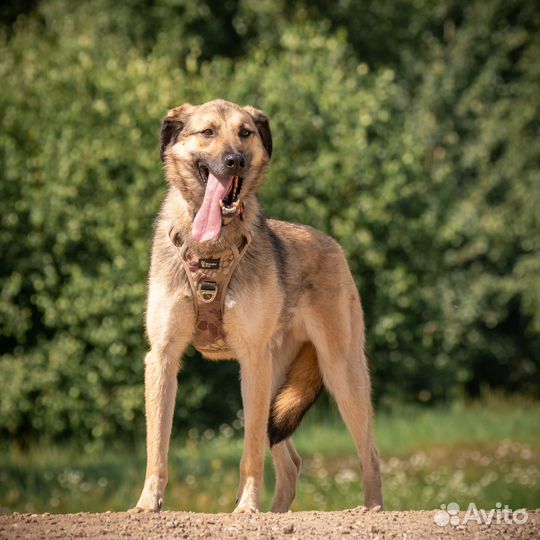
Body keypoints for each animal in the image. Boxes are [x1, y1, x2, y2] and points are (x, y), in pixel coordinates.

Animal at [131, 99, 384, 512]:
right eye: (208, 132)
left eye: (245, 133)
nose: (235, 161)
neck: (210, 250)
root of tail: (332, 243)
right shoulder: (163, 356)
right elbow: (157, 447)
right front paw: (147, 503)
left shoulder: (251, 360)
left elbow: (250, 452)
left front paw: (247, 507)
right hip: (276, 380)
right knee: (292, 463)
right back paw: (277, 513)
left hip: (338, 371)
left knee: (370, 453)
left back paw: (372, 508)